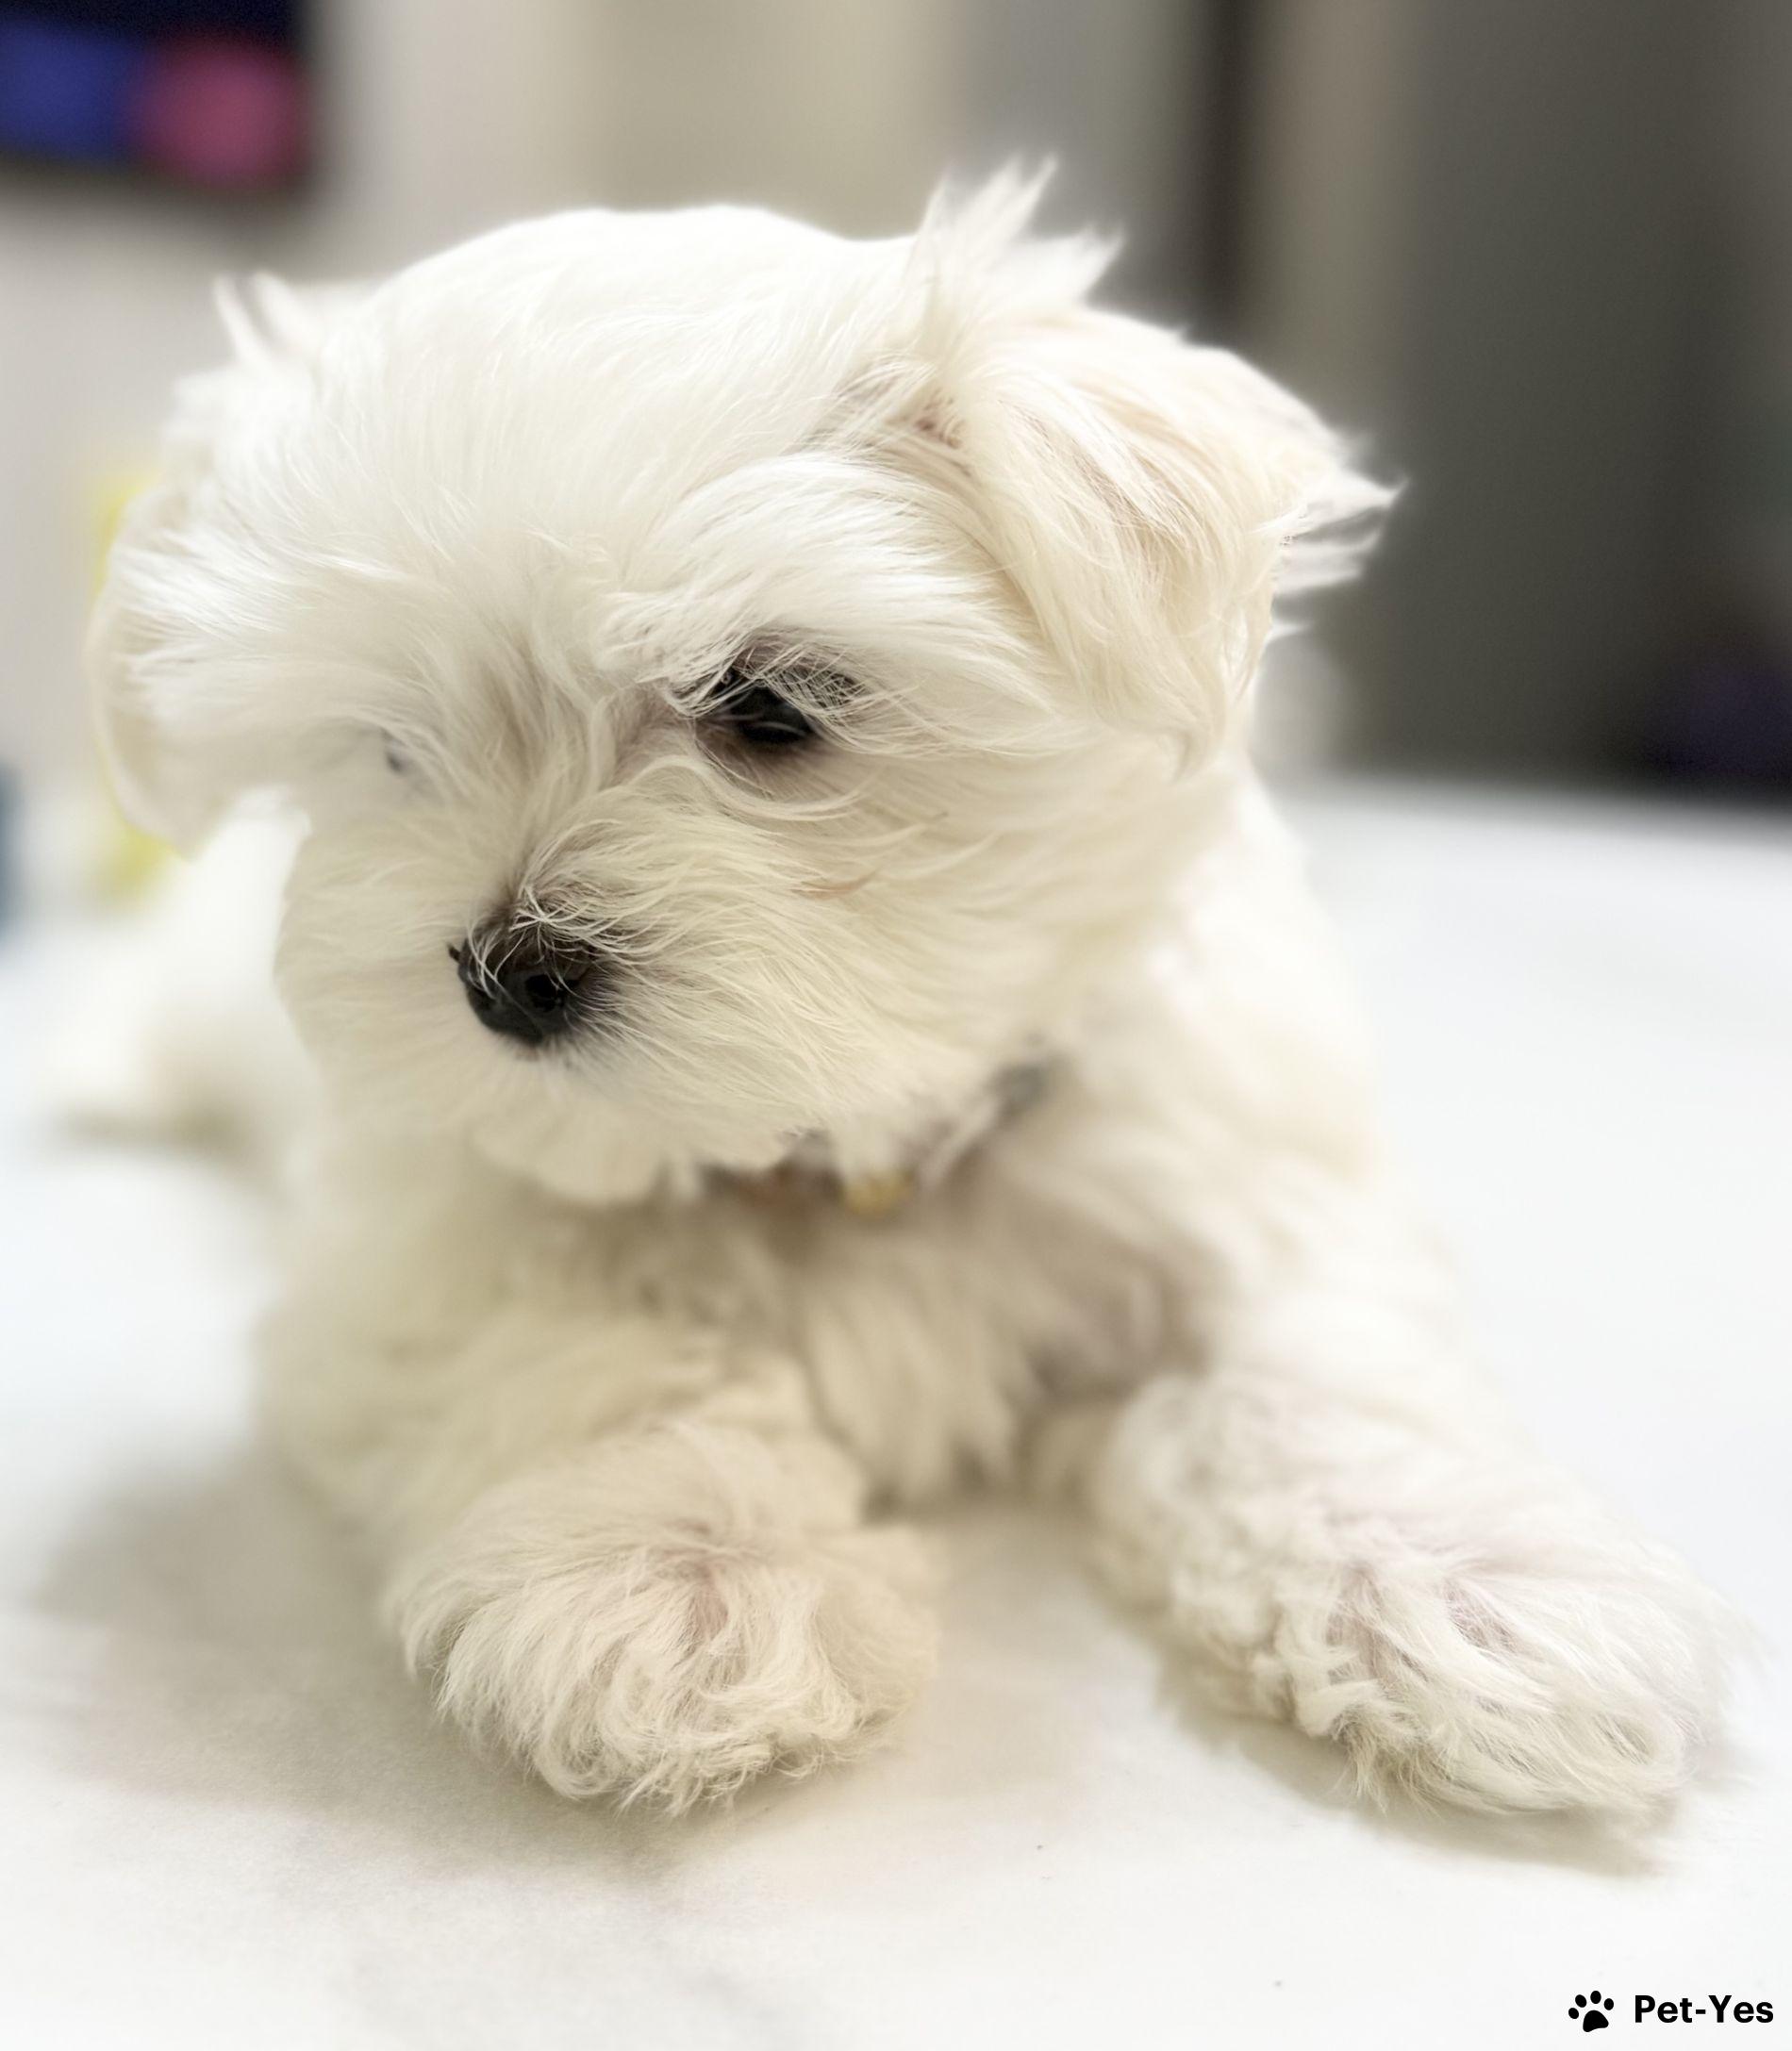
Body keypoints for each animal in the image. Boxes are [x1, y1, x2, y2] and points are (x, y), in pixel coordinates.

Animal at [90, 175, 1731, 1814]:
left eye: (771, 703)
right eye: (390, 747)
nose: (509, 975)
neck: (852, 1158)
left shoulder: (1239, 1176)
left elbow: (1317, 1366)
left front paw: (1468, 1577)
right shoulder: (431, 1239)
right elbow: (590, 1348)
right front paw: (681, 1573)